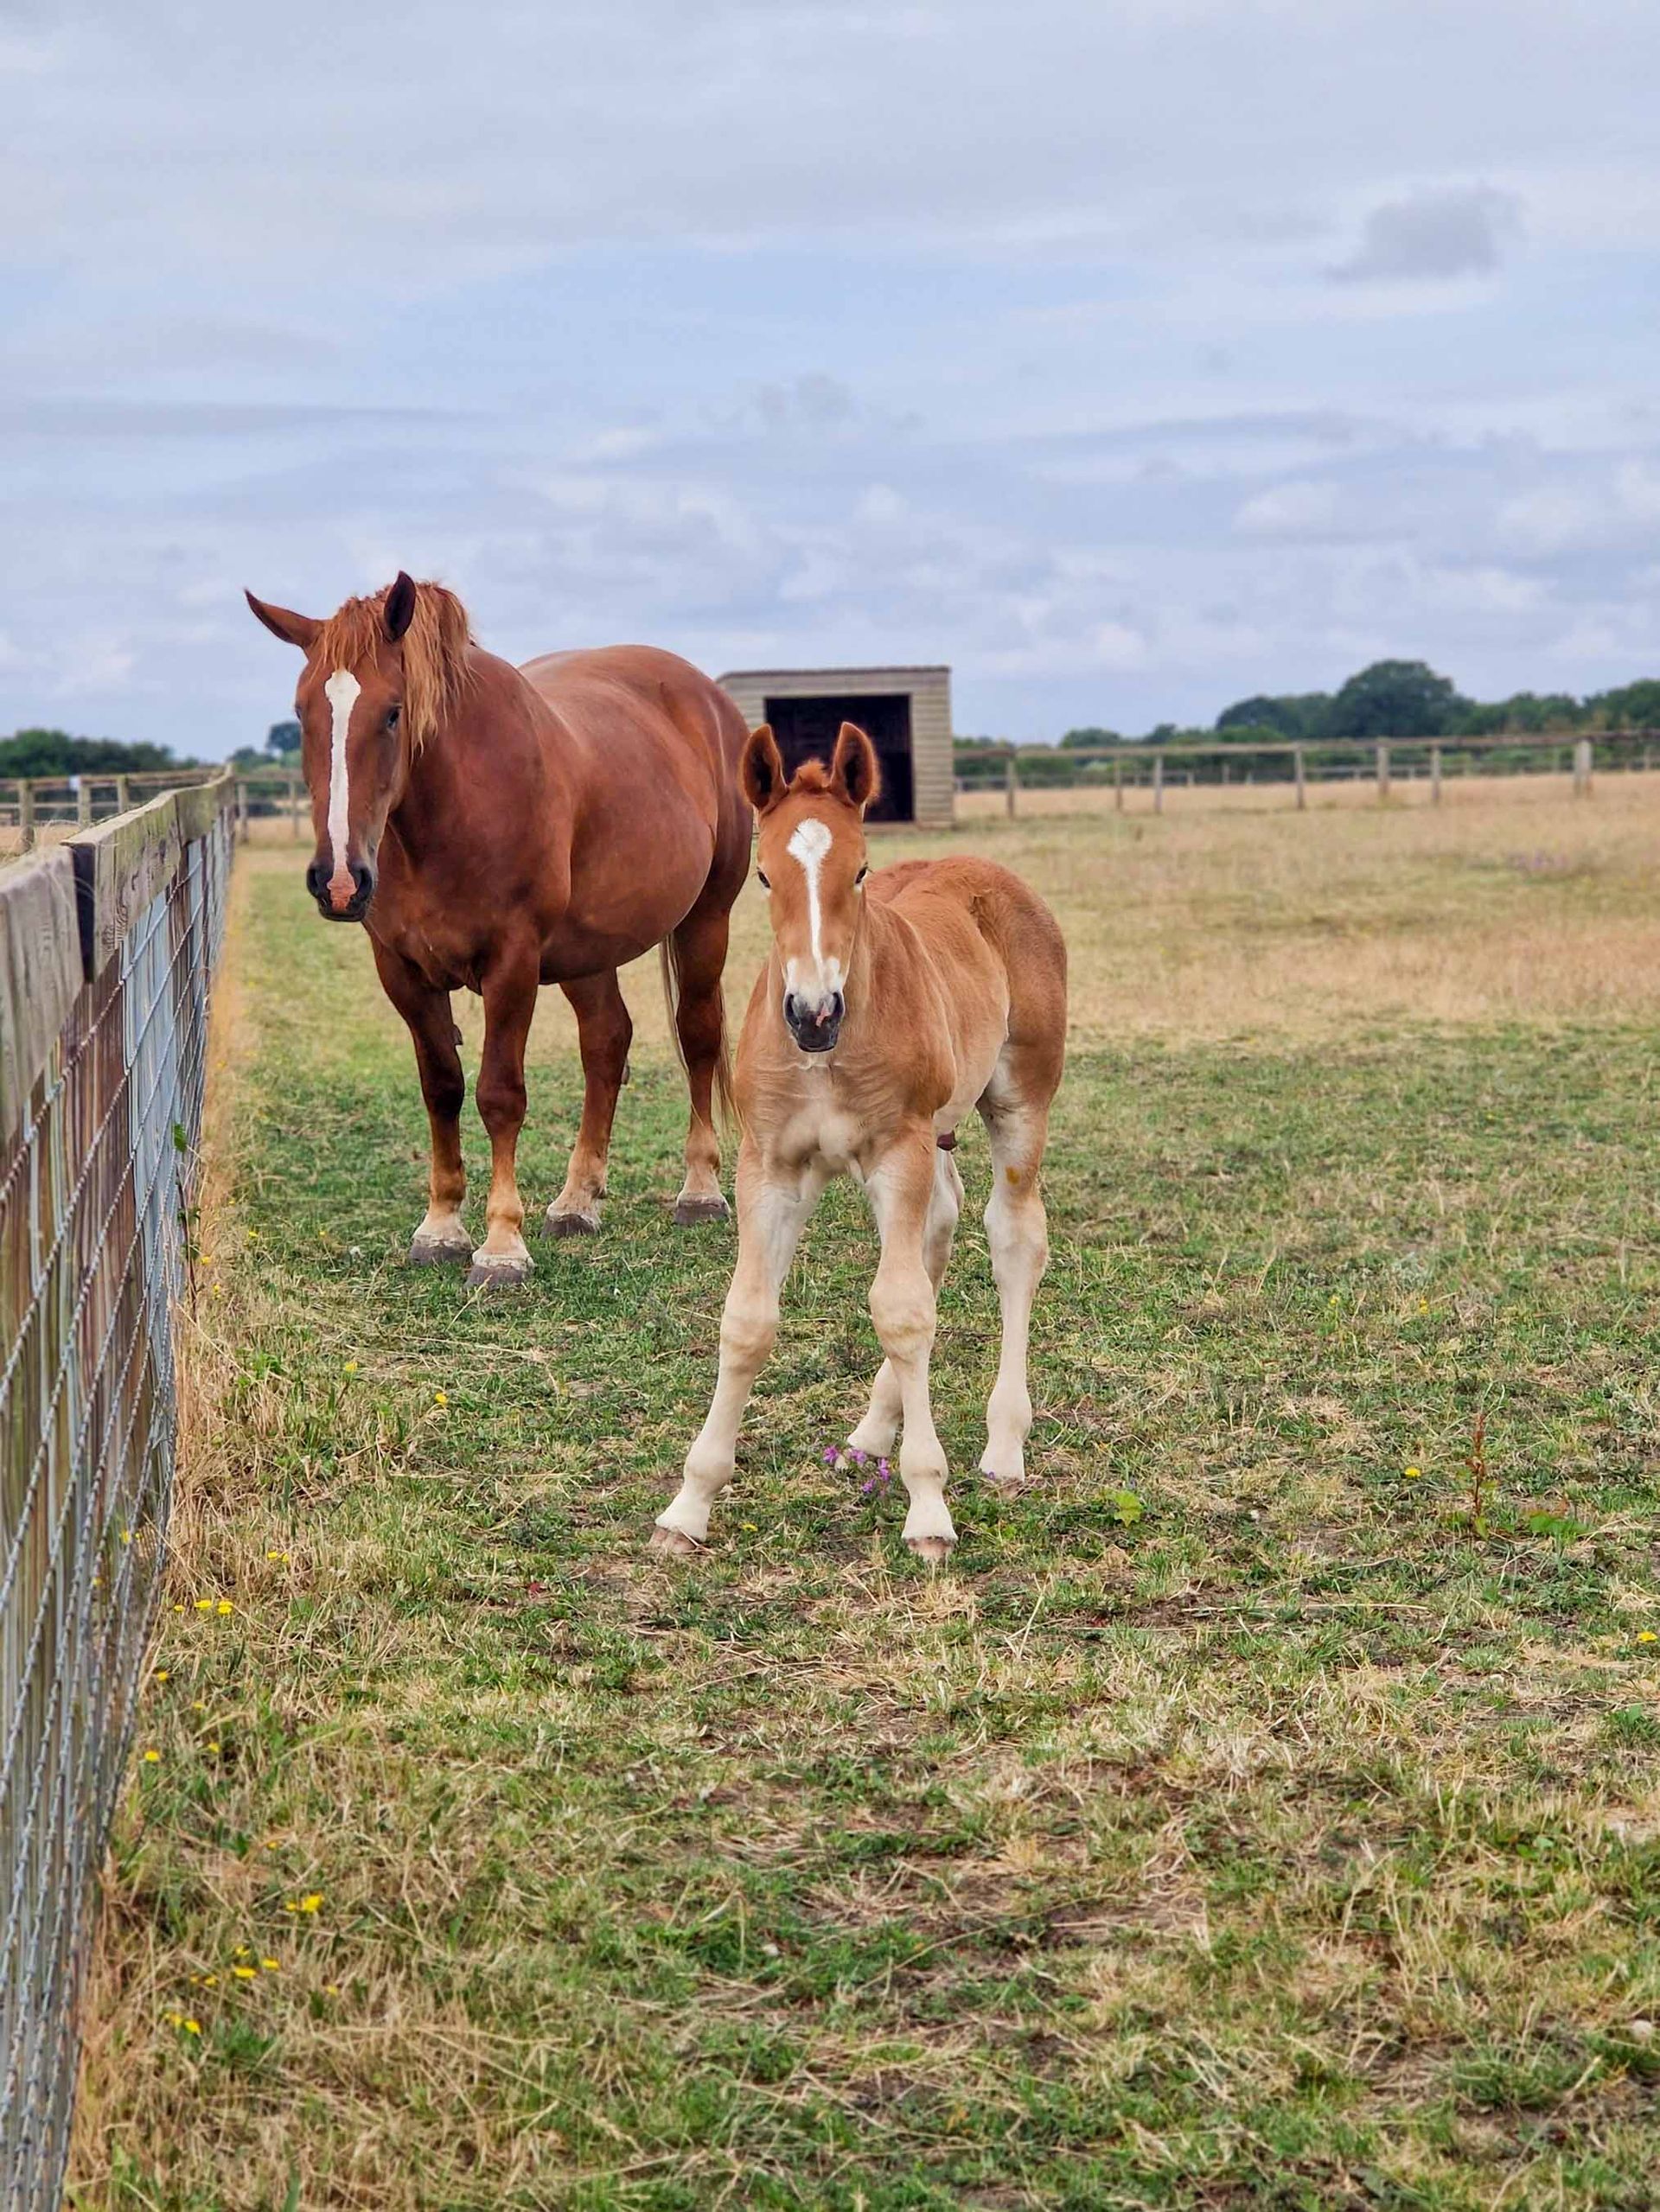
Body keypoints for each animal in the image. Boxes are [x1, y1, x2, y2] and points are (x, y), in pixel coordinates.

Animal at [245, 572, 752, 1285]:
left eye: (393, 711)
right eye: (301, 714)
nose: (339, 880)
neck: (454, 809)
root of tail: (707, 699)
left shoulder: (513, 964)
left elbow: (499, 1095)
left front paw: (502, 1245)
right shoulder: (403, 972)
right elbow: (442, 1089)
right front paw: (440, 1226)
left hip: (706, 918)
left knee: (698, 1035)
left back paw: (700, 1190)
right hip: (587, 951)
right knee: (607, 1043)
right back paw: (576, 1199)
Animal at [652, 719, 1067, 1563]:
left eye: (862, 869)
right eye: (764, 876)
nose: (814, 1012)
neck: (823, 1056)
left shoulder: (895, 1150)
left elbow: (903, 1311)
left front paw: (929, 1508)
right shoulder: (771, 1166)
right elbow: (748, 1319)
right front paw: (690, 1504)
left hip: (1017, 1103)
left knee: (1012, 1239)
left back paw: (1004, 1444)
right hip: (932, 1140)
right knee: (940, 1226)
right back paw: (874, 1431)